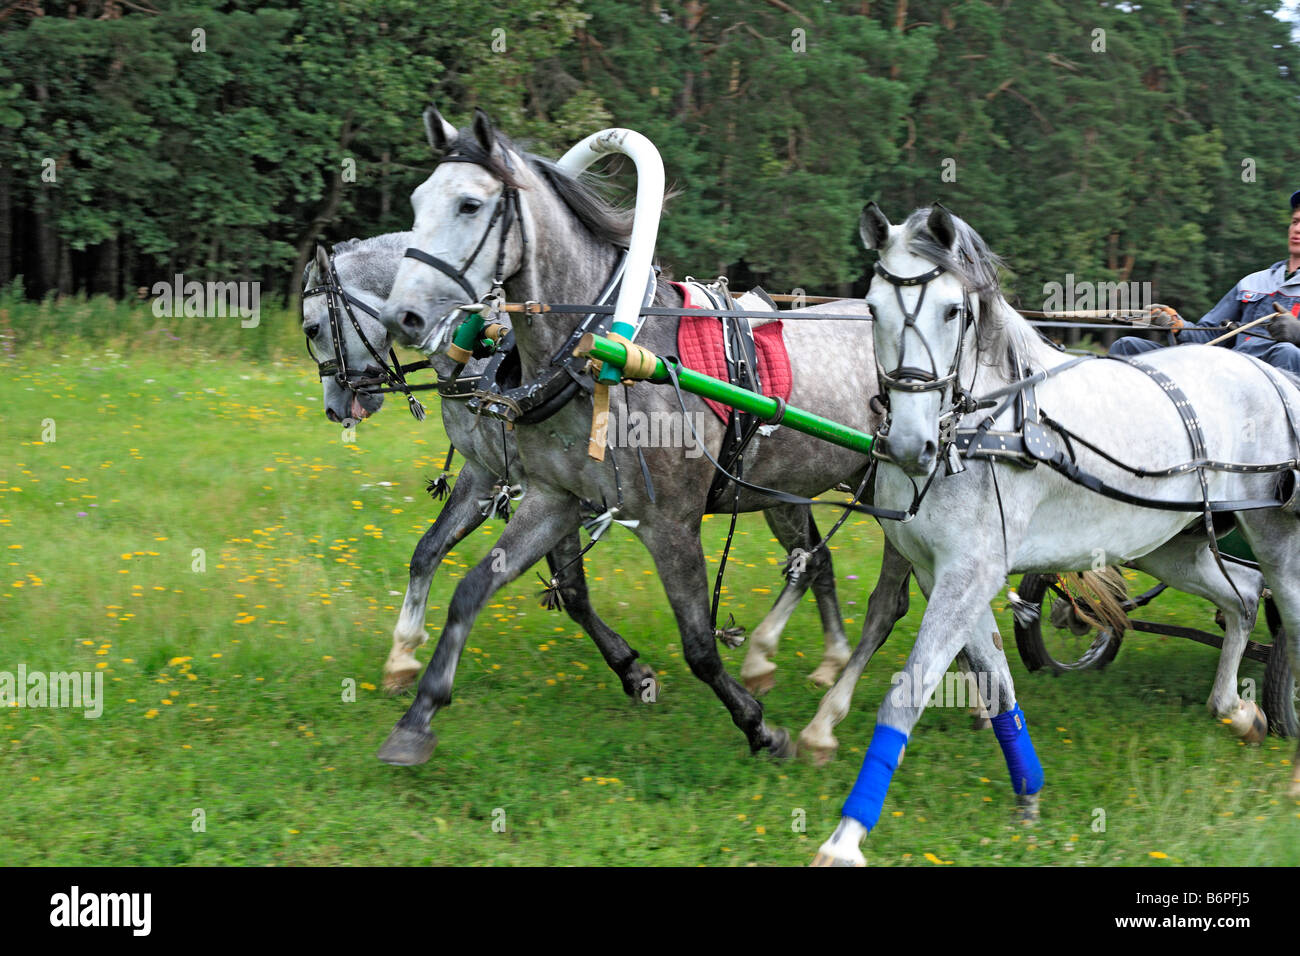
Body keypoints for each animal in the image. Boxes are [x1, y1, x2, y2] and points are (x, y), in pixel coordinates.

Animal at [811, 204, 1300, 868]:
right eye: (871, 307)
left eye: (952, 310)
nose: (912, 445)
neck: (988, 431)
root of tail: (1266, 369)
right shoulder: (948, 575)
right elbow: (997, 680)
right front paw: (1029, 793)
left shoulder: (969, 574)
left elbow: (907, 693)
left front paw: (845, 837)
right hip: (1172, 546)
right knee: (1244, 596)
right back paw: (1237, 711)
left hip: (1275, 535)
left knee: (1286, 613)